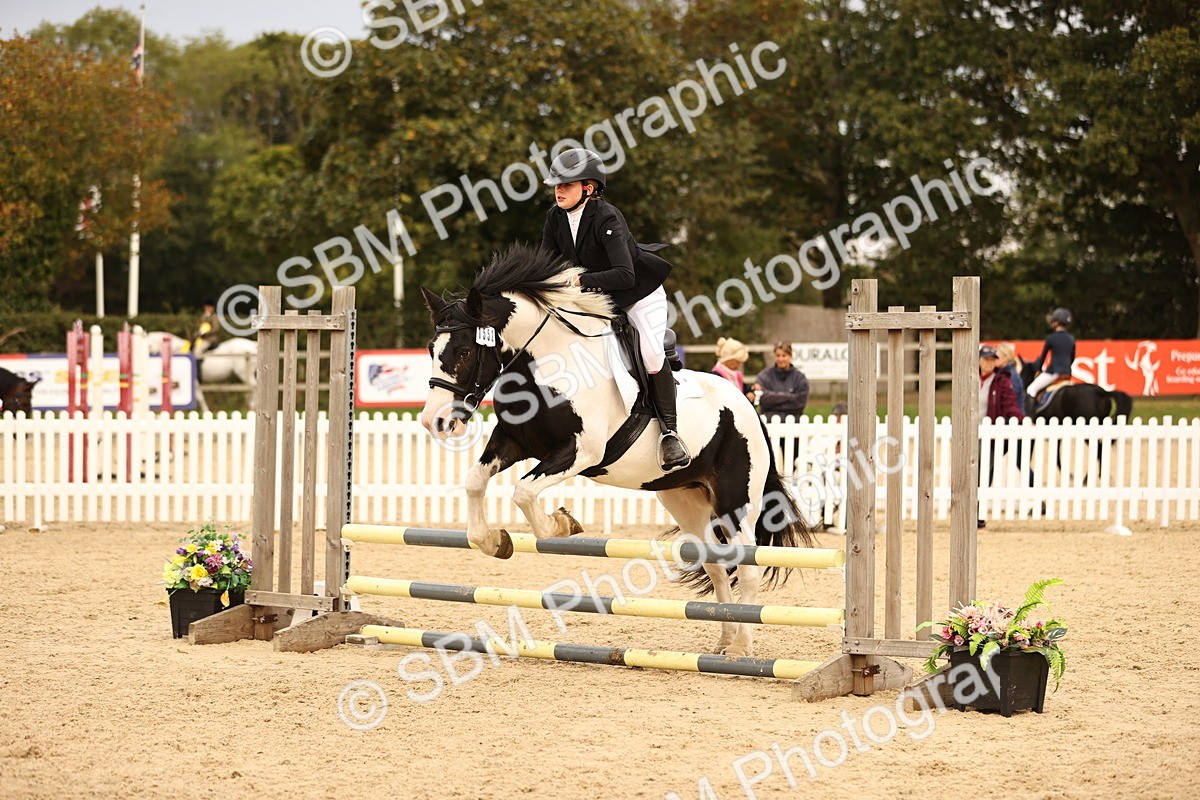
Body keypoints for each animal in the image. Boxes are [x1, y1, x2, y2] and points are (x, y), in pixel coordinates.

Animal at [419, 244, 815, 658]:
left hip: (736, 501)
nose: (434, 421)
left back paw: (741, 648)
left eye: (464, 352)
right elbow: (475, 480)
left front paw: (562, 524)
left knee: (748, 568)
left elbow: (524, 491)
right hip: (686, 499)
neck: (550, 361)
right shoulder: (514, 441)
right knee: (718, 566)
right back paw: (723, 642)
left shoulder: (581, 451)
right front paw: (495, 541)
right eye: (432, 349)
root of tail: (748, 406)